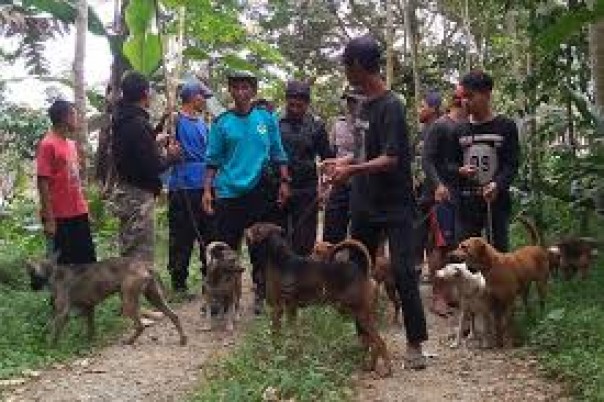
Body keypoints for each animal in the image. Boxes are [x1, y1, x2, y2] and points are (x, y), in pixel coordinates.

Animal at [26, 254, 186, 346]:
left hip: (127, 302)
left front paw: (50, 348)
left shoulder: (62, 314)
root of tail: (145, 264)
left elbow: (53, 333)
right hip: (153, 297)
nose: (31, 287)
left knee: (140, 326)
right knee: (174, 316)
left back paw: (129, 341)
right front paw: (89, 342)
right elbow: (90, 328)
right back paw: (183, 339)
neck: (53, 272)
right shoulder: (88, 308)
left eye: (31, 274)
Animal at [245, 223, 392, 376]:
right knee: (374, 342)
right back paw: (371, 366)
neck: (281, 261)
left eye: (254, 227)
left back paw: (386, 369)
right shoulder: (291, 309)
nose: (245, 230)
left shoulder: (278, 308)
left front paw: (277, 351)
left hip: (361, 314)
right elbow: (292, 333)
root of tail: (363, 272)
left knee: (380, 342)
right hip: (358, 315)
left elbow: (276, 333)